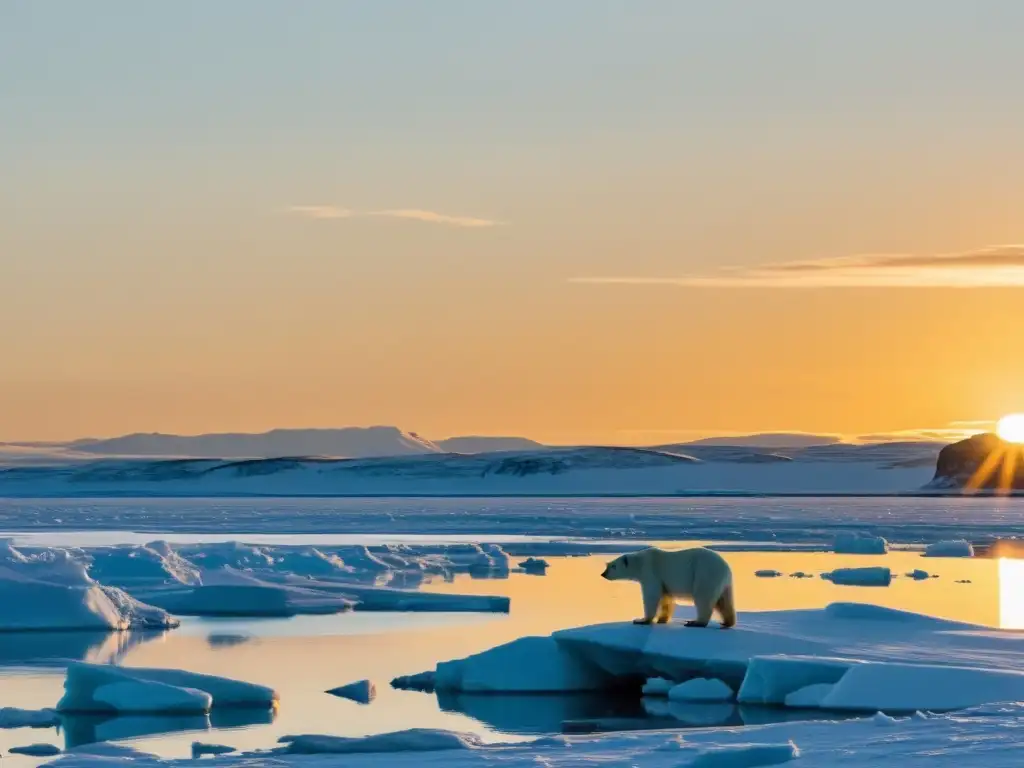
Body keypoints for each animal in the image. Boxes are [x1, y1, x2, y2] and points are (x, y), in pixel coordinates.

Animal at [598, 544, 737, 626]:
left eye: (613, 566)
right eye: (608, 565)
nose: (603, 574)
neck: (640, 562)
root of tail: (726, 568)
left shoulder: (650, 571)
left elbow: (651, 595)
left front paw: (641, 620)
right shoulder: (663, 581)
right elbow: (666, 598)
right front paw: (662, 619)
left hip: (704, 573)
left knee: (703, 597)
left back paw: (696, 622)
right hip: (723, 583)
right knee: (724, 601)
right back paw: (727, 622)